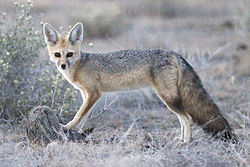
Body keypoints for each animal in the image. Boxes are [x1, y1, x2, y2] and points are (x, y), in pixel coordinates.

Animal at [42, 22, 236, 145]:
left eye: (70, 54)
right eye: (58, 54)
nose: (63, 65)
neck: (80, 65)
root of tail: (174, 53)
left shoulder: (94, 94)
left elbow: (78, 115)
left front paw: (67, 127)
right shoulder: (87, 95)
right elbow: (84, 116)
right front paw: (79, 132)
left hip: (167, 98)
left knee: (187, 118)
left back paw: (185, 143)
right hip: (170, 99)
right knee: (183, 119)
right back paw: (181, 140)